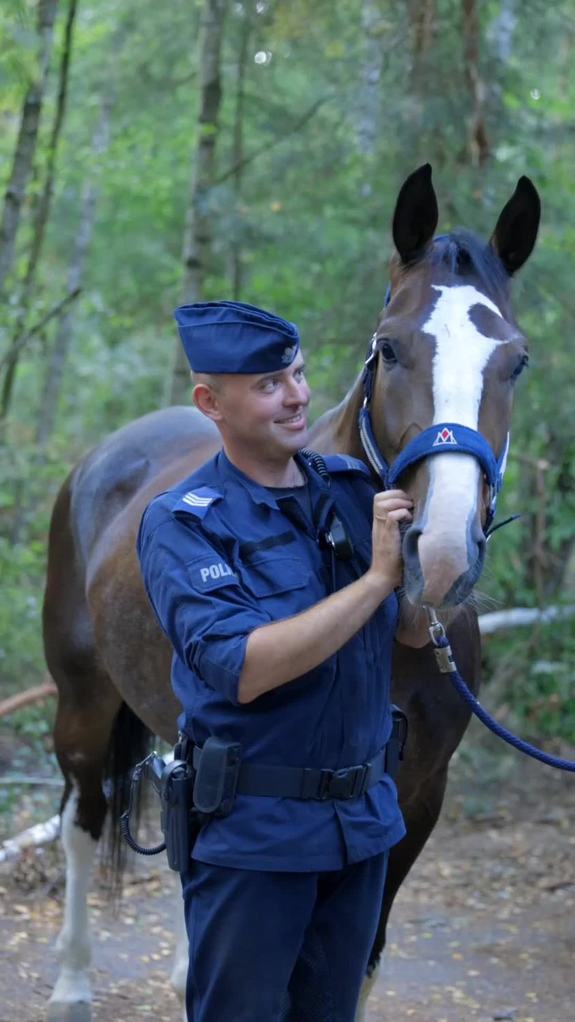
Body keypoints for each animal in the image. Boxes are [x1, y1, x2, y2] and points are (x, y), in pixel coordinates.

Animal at [43, 163, 539, 1017]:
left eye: (515, 361)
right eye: (388, 349)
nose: (439, 555)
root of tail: (104, 457)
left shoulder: (416, 802)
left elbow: (357, 967)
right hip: (81, 705)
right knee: (82, 817)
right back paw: (73, 982)